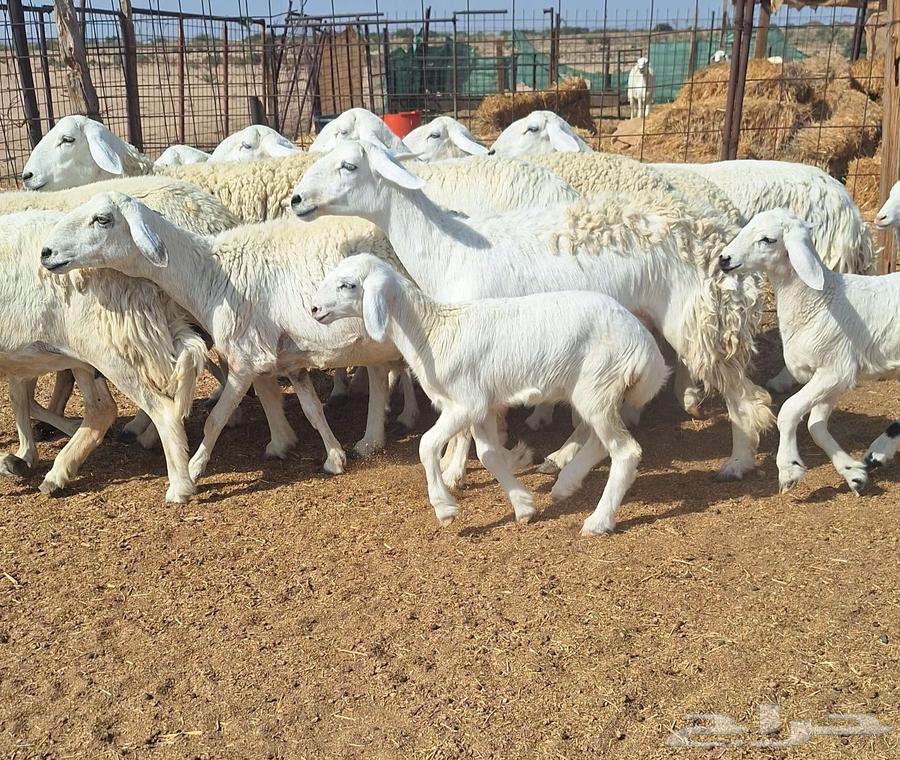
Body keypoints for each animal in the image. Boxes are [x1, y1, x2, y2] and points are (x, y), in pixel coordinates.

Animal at [0, 211, 205, 502]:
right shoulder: (21, 362)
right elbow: (20, 399)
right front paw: (22, 458)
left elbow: (22, 400)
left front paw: (19, 459)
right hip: (86, 356)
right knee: (101, 409)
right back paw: (56, 474)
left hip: (112, 351)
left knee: (161, 409)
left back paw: (180, 487)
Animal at [40, 192, 418, 482]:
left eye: (102, 219)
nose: (45, 253)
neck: (212, 274)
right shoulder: (290, 357)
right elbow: (312, 410)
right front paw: (334, 457)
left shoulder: (244, 360)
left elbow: (216, 420)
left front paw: (193, 469)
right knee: (383, 372)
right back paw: (373, 438)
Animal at [292, 140, 772, 482]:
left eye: (348, 166)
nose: (296, 200)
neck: (449, 250)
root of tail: (722, 241)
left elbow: (465, 422)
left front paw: (452, 470)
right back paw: (561, 456)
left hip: (699, 320)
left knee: (743, 396)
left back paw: (738, 463)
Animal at [312, 254, 669, 534]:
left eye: (348, 285)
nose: (314, 309)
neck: (433, 332)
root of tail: (646, 347)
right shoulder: (480, 407)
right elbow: (488, 455)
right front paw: (523, 506)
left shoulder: (465, 404)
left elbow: (427, 445)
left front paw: (445, 508)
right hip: (594, 393)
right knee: (598, 441)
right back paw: (565, 484)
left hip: (598, 385)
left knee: (625, 451)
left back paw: (598, 521)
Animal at [717, 208, 900, 494]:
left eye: (768, 239)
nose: (724, 259)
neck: (820, 299)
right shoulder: (831, 375)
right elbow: (816, 426)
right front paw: (853, 473)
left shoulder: (835, 370)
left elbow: (788, 410)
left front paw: (789, 468)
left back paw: (879, 450)